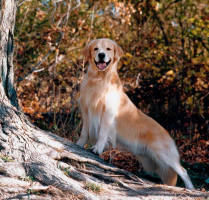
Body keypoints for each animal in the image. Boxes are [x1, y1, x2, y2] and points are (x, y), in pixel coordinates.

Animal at [77, 38, 194, 189]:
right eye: (96, 49)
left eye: (108, 49)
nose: (101, 55)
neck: (99, 79)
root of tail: (168, 135)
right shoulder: (86, 112)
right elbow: (84, 132)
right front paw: (79, 144)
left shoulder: (107, 113)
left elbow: (102, 133)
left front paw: (97, 148)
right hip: (154, 161)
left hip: (164, 155)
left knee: (183, 170)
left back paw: (190, 188)